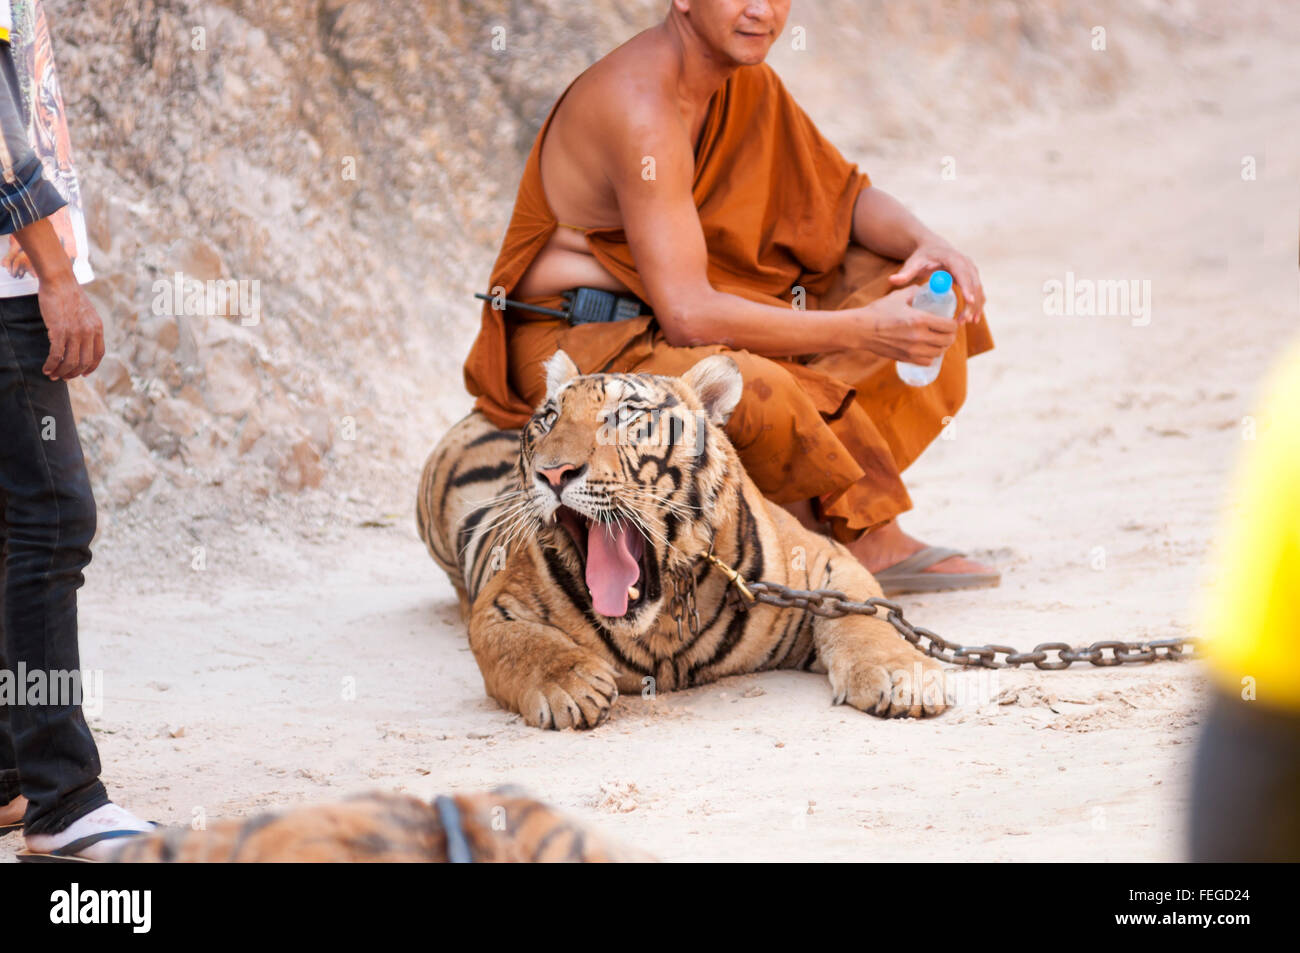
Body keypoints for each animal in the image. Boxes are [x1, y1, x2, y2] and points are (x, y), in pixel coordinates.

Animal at [416, 348, 946, 728]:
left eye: (624, 415)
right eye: (547, 419)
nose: (552, 472)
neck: (660, 621)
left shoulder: (825, 561)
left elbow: (866, 618)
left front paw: (903, 677)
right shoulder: (499, 603)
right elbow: (518, 642)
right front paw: (571, 687)